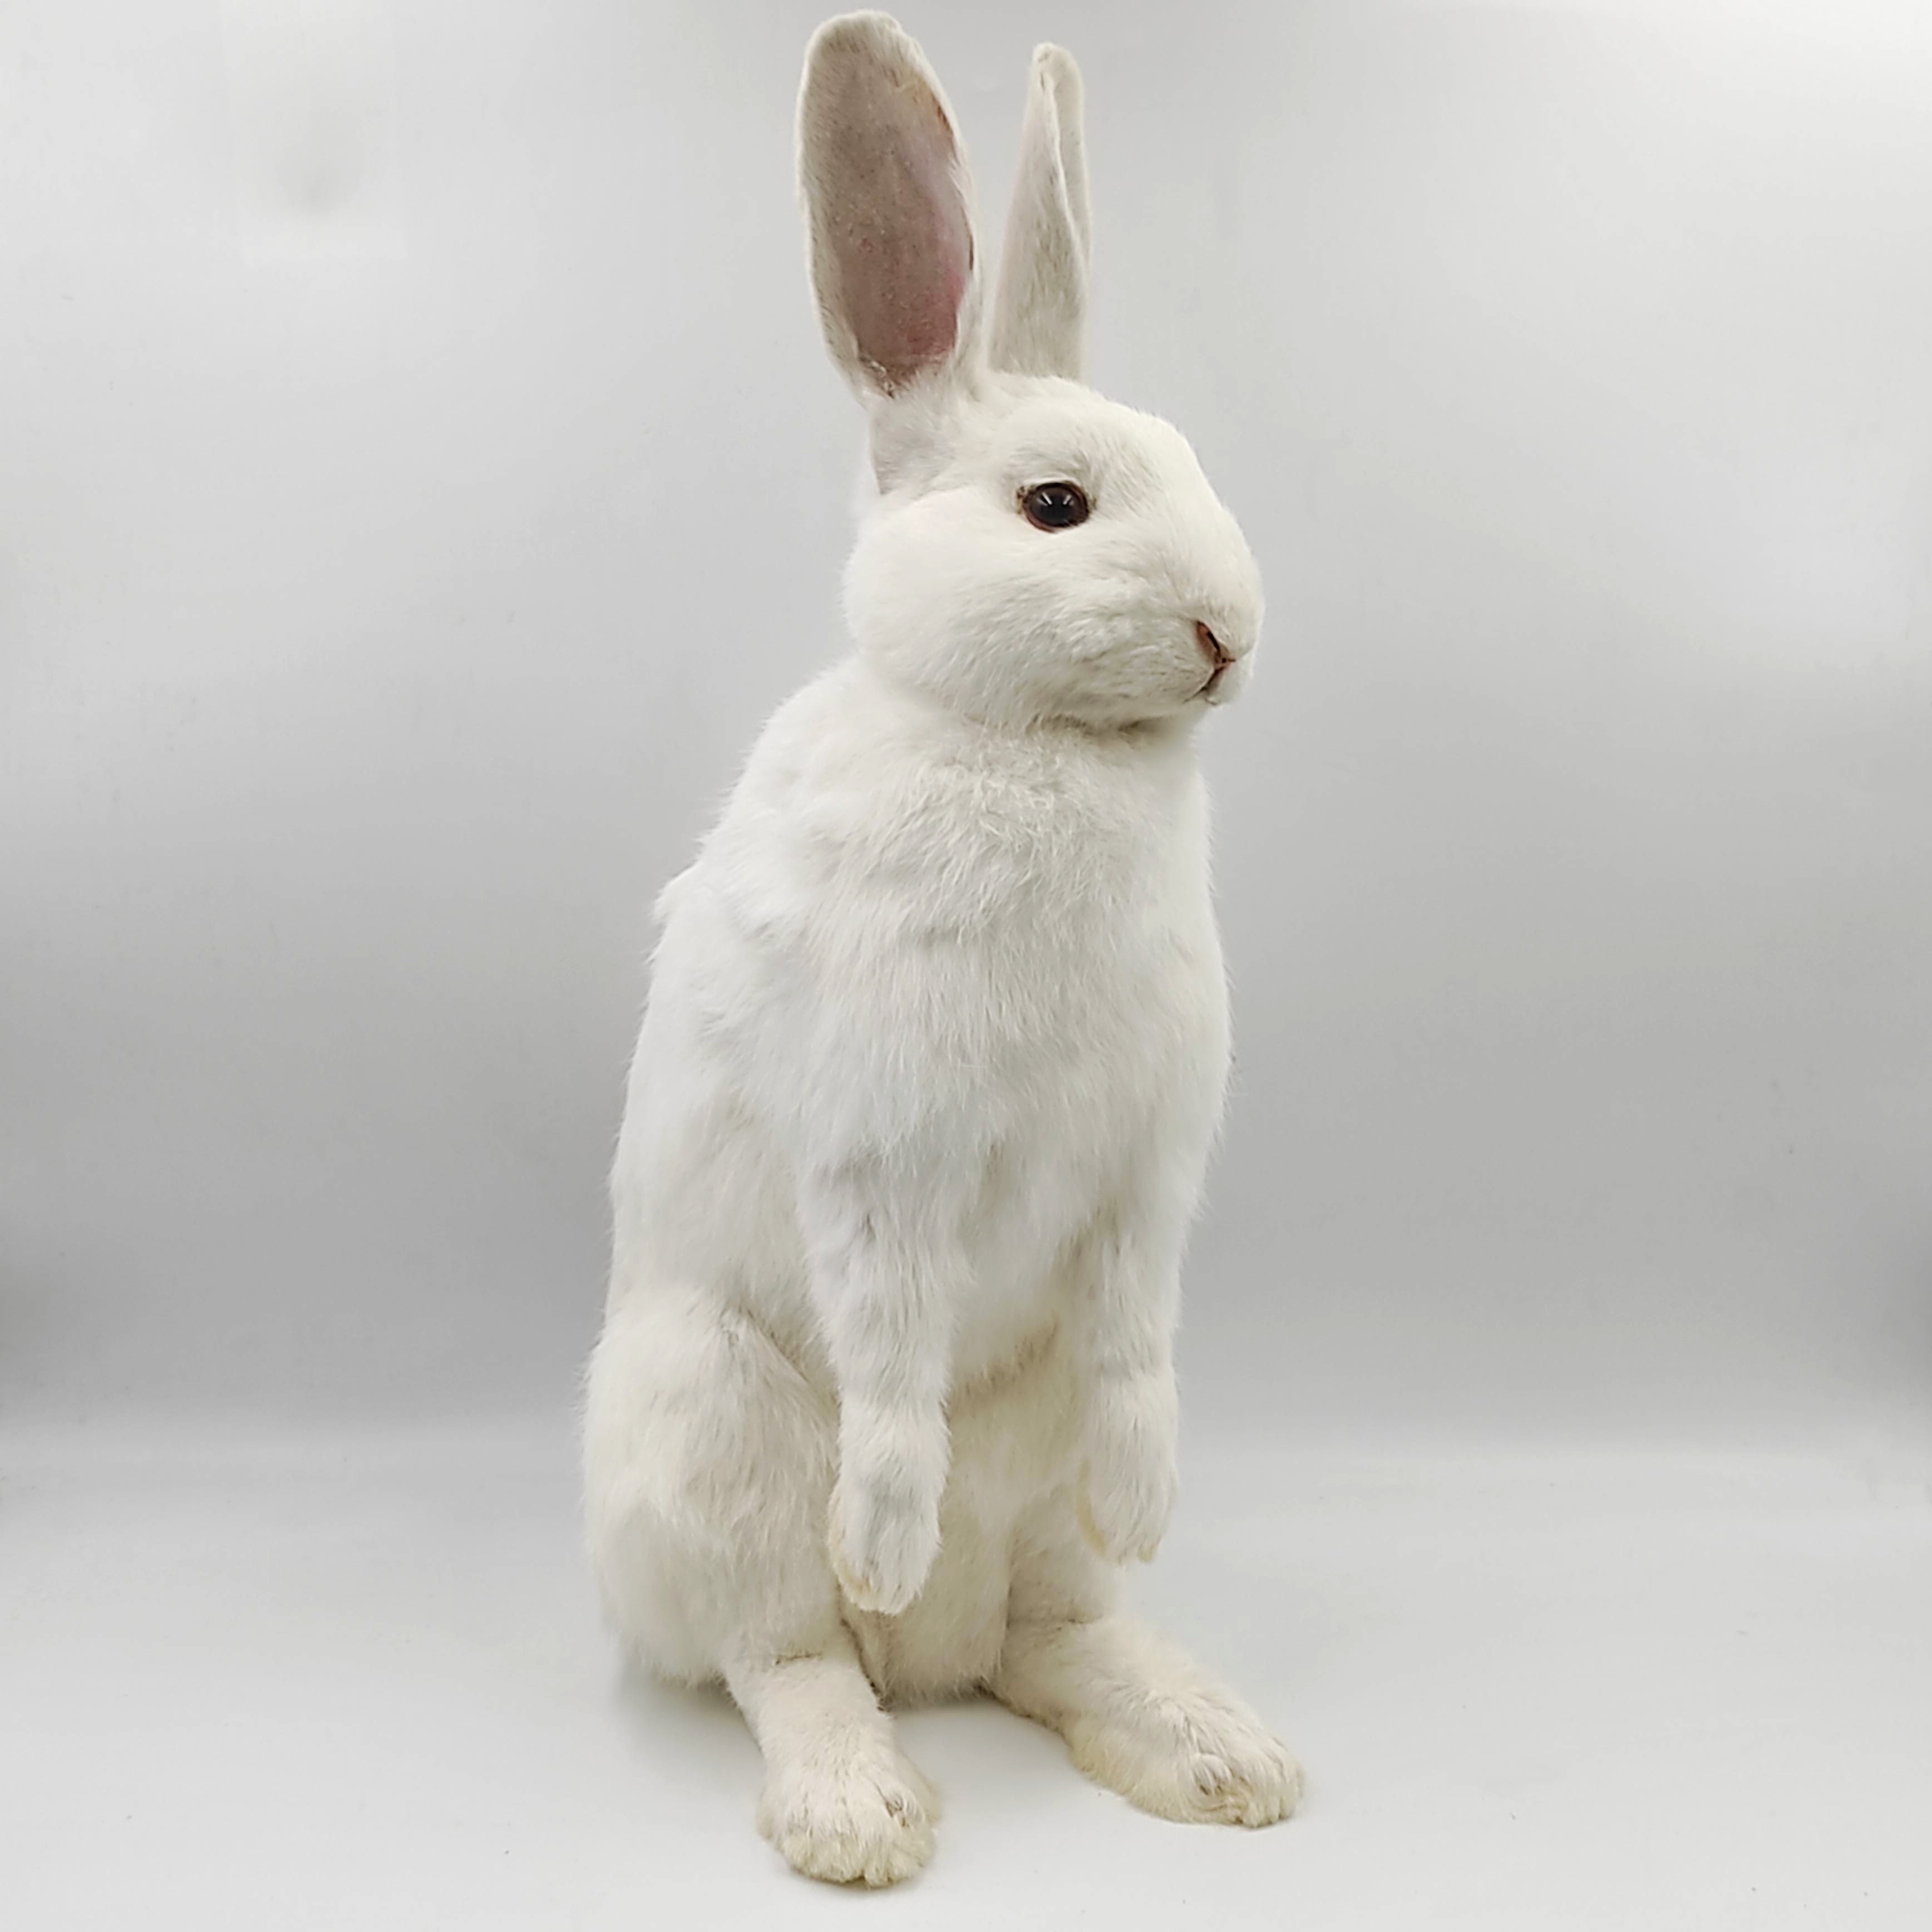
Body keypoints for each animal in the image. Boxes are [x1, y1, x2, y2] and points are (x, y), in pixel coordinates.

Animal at [582, 11, 1300, 1887]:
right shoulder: (881, 1151)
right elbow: (893, 1343)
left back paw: (1211, 1747)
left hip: (1032, 1520)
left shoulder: (1145, 1180)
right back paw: (863, 1783)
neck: (1032, 738)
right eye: (1054, 504)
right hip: (713, 1423)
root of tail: (938, 1667)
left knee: (1054, 1634)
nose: (1230, 634)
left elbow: (1138, 1342)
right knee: (788, 1654)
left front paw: (1155, 1494)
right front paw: (885, 1535)